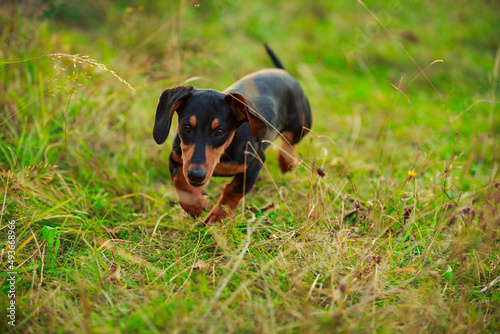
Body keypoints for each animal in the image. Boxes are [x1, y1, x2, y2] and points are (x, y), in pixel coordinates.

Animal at [154, 43, 312, 223]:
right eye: (186, 127)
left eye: (220, 131)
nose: (195, 175)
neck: (223, 153)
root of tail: (284, 73)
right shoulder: (175, 157)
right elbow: (179, 179)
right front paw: (194, 204)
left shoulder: (255, 161)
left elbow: (234, 190)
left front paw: (219, 215)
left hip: (301, 125)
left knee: (289, 141)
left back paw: (287, 161)